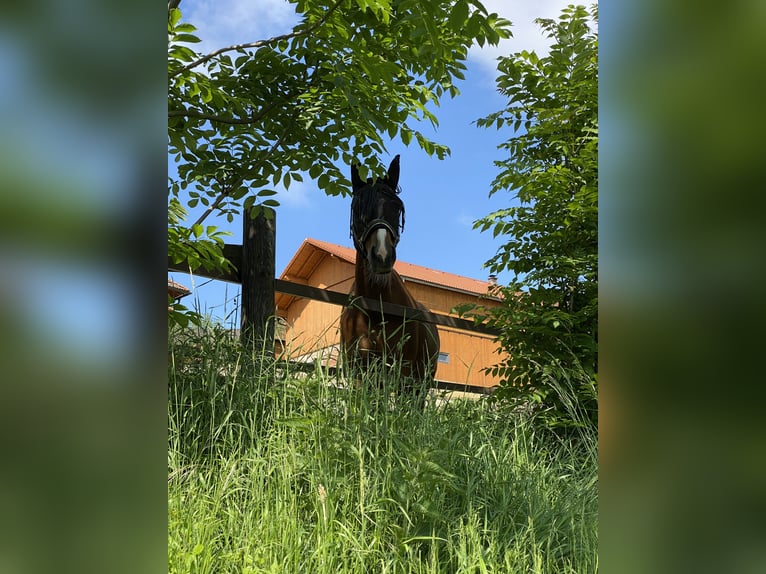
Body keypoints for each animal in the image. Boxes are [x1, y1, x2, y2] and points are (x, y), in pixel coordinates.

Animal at [340, 153, 440, 404]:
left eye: (397, 207)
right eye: (357, 207)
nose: (382, 255)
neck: (376, 308)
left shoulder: (403, 374)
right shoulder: (360, 373)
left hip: (420, 383)